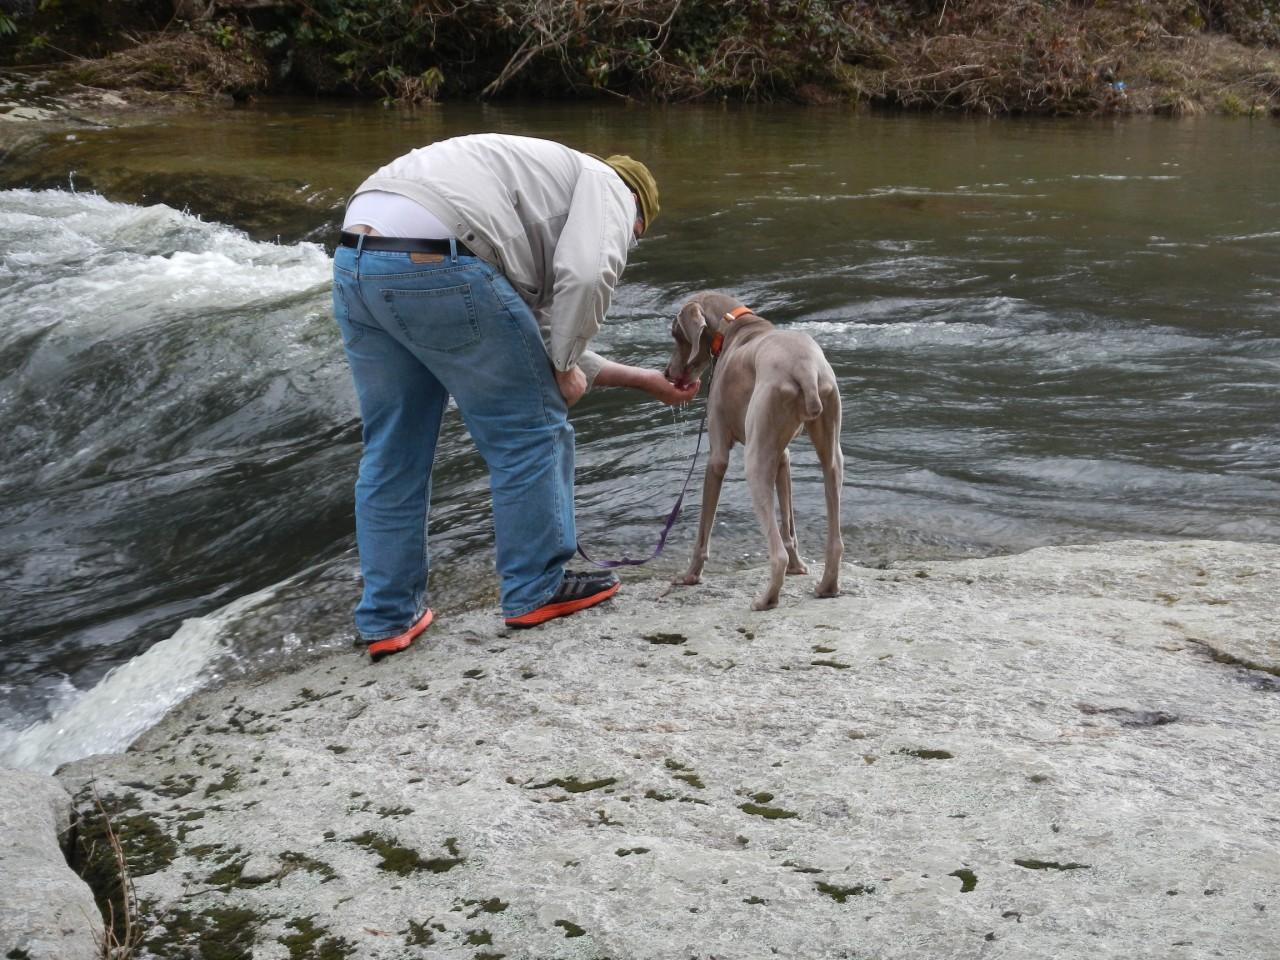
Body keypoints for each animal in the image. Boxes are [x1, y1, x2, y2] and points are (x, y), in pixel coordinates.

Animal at [665, 289, 844, 611]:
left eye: (676, 334)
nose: (666, 373)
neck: (736, 326)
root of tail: (806, 369)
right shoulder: (783, 457)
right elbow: (789, 527)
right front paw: (799, 568)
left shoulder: (717, 456)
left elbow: (704, 530)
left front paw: (690, 576)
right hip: (831, 451)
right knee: (834, 540)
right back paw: (827, 587)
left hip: (755, 462)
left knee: (777, 553)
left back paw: (766, 599)